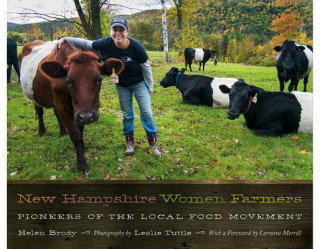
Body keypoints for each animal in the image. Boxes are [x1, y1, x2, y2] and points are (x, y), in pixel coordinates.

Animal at [18, 40, 124, 174]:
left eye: (99, 79)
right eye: (68, 81)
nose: (87, 116)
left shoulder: (78, 111)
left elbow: (81, 129)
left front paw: (83, 148)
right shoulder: (63, 106)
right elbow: (75, 134)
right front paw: (81, 164)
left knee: (55, 113)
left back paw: (62, 131)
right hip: (33, 95)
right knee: (39, 111)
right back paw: (42, 131)